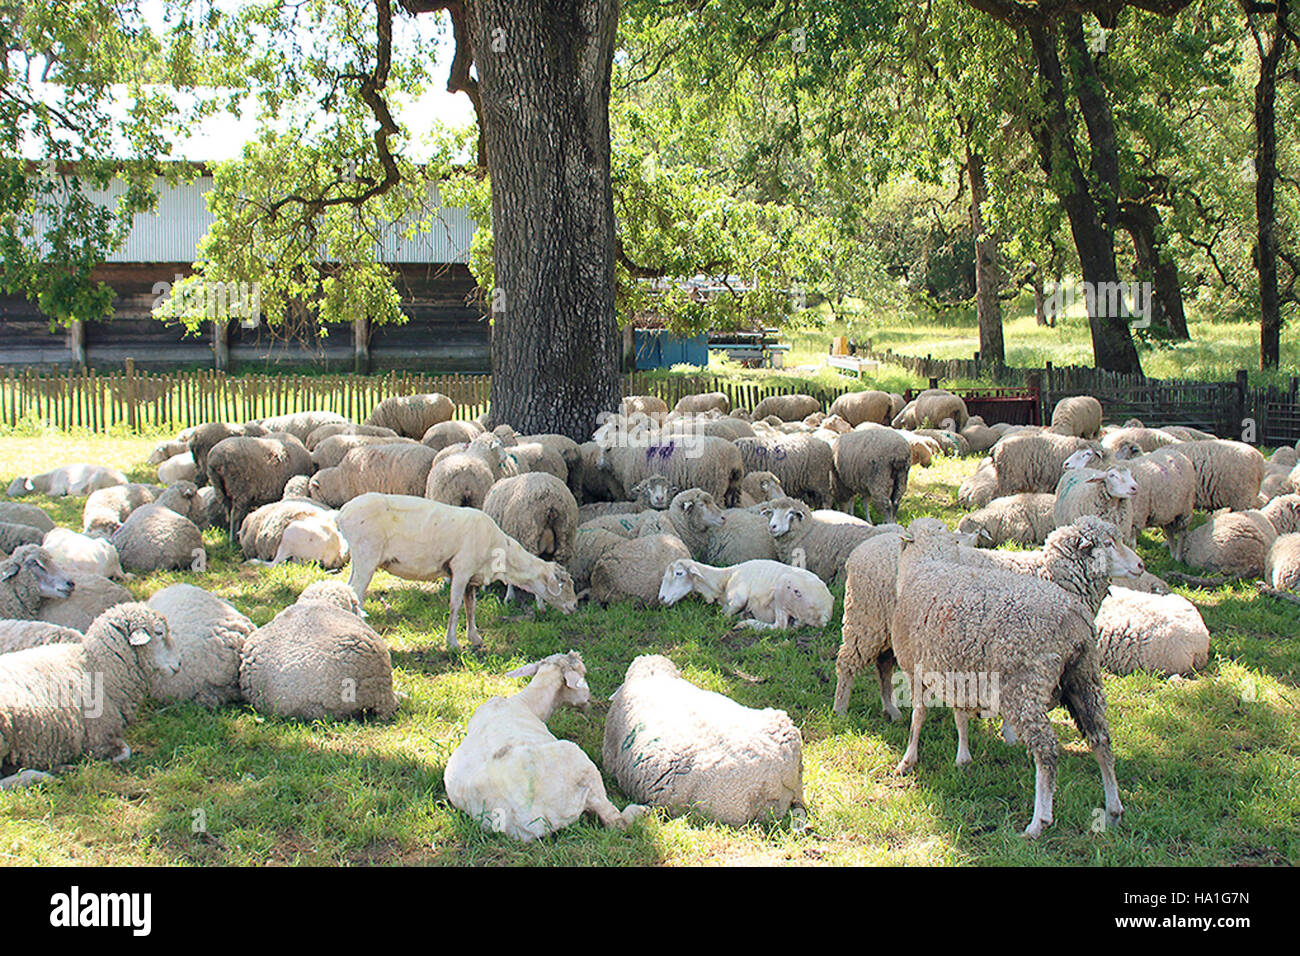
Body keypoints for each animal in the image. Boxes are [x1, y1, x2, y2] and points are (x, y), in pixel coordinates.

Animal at [0, 603, 176, 785]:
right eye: (159, 632)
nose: (178, 664)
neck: (96, 666)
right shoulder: (99, 736)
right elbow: (125, 752)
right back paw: (39, 776)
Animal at [338, 493, 576, 650]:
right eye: (564, 584)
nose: (574, 606)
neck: (500, 552)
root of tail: (342, 512)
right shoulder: (461, 569)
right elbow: (455, 606)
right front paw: (452, 643)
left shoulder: (472, 577)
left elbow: (471, 607)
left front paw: (475, 638)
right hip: (367, 556)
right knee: (356, 592)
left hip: (359, 560)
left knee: (346, 590)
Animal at [444, 651, 645, 841]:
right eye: (583, 673)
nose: (588, 700)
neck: (526, 703)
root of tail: (528, 819)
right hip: (582, 766)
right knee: (616, 821)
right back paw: (640, 810)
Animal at [658, 558, 832, 628]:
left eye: (679, 573)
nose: (661, 598)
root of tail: (826, 609)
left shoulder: (738, 597)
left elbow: (724, 615)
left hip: (783, 588)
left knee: (780, 627)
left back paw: (746, 623)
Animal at [891, 518, 1140, 837]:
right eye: (1108, 544)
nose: (1140, 565)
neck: (927, 564)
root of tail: (1073, 616)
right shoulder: (955, 667)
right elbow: (959, 716)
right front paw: (963, 758)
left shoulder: (915, 668)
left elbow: (918, 718)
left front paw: (908, 761)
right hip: (1084, 679)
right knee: (1102, 740)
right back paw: (1113, 809)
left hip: (1024, 687)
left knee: (1046, 751)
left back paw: (1038, 822)